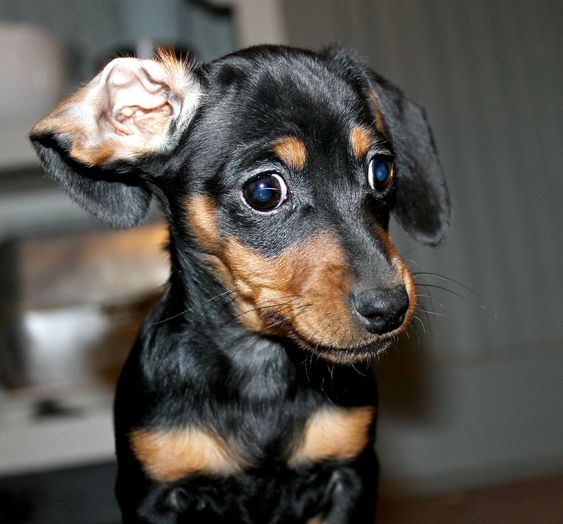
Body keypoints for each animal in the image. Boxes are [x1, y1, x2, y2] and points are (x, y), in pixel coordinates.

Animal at [32, 46, 454, 524]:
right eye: (265, 191)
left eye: (381, 171)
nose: (390, 308)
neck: (260, 363)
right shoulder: (153, 495)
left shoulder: (352, 475)